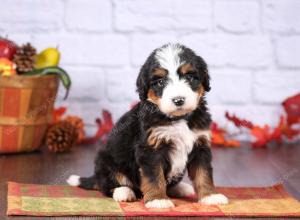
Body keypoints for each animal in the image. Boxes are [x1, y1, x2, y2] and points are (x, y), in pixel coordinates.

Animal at [67, 42, 227, 208]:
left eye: (190, 77)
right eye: (160, 82)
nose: (178, 100)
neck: (178, 119)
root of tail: (96, 176)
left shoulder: (200, 145)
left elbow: (203, 173)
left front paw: (210, 196)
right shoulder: (150, 149)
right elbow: (155, 177)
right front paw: (158, 199)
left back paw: (182, 188)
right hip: (108, 162)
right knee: (108, 185)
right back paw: (124, 192)